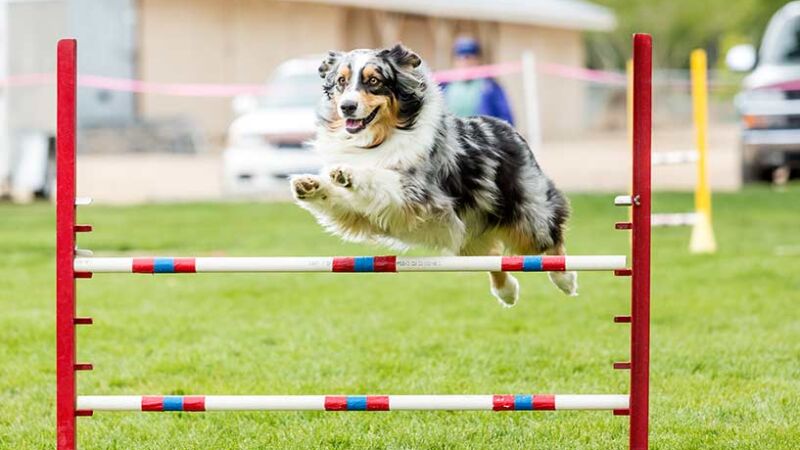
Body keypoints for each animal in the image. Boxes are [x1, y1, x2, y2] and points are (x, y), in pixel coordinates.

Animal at [290, 44, 580, 306]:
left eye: (374, 81)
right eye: (342, 81)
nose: (347, 107)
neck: (377, 138)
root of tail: (508, 127)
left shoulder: (418, 193)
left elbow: (381, 176)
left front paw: (350, 172)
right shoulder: (362, 215)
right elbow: (339, 199)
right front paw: (310, 184)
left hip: (528, 214)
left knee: (549, 239)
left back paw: (565, 279)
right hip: (469, 234)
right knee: (494, 256)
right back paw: (507, 292)